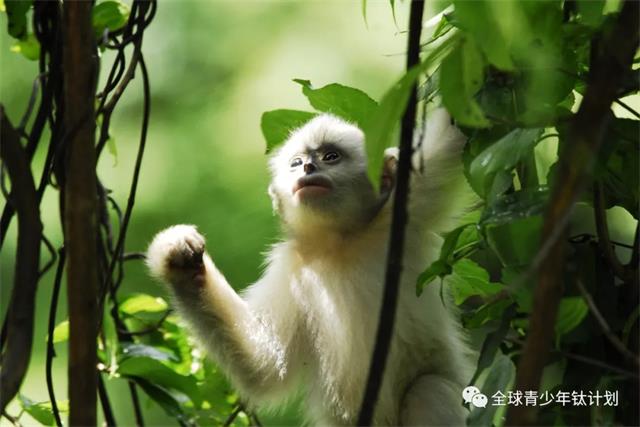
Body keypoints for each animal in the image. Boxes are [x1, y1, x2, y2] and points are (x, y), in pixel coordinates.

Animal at [148, 108, 472, 426]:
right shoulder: (290, 268)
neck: (341, 241)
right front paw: (179, 260)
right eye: (296, 162)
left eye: (331, 157)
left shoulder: (407, 208)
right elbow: (264, 365)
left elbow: (457, 129)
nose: (307, 168)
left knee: (430, 389)